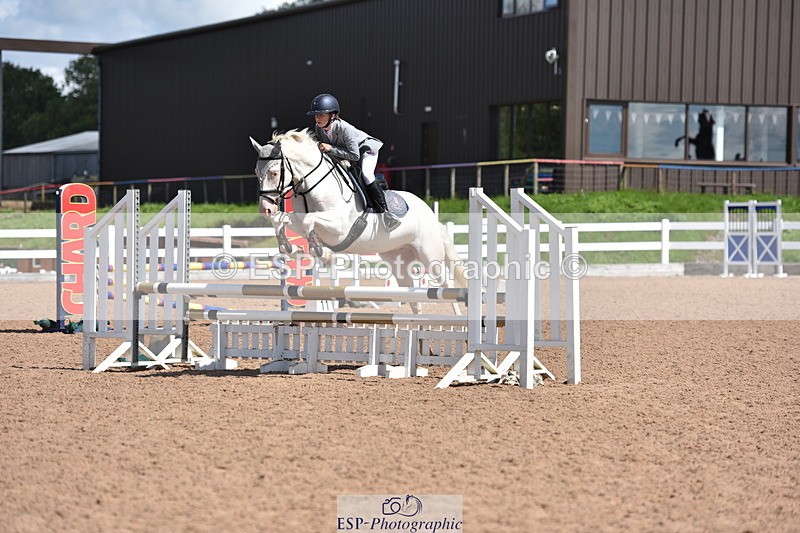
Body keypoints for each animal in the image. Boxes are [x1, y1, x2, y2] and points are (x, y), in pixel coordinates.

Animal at [250, 129, 467, 314]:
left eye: (274, 173)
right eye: (257, 173)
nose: (265, 209)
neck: (311, 185)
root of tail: (429, 213)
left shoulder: (339, 227)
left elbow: (309, 221)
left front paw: (322, 252)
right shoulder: (298, 218)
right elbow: (282, 220)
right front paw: (292, 248)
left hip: (429, 254)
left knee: (446, 285)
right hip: (397, 258)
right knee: (412, 296)